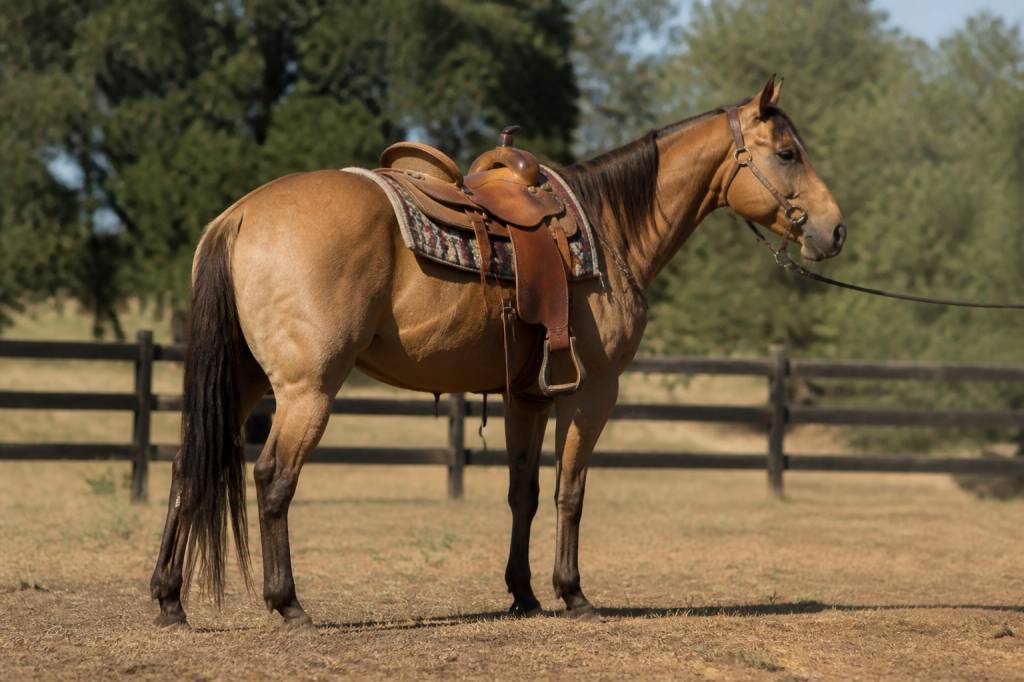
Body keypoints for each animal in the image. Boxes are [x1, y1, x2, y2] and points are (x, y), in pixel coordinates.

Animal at [150, 76, 845, 627]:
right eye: (787, 153)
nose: (834, 229)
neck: (608, 228)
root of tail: (240, 215)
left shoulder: (527, 397)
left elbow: (524, 493)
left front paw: (524, 594)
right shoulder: (593, 393)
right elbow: (571, 491)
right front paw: (573, 594)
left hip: (243, 382)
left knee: (188, 467)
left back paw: (168, 599)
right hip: (305, 390)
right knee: (272, 477)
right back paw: (287, 603)